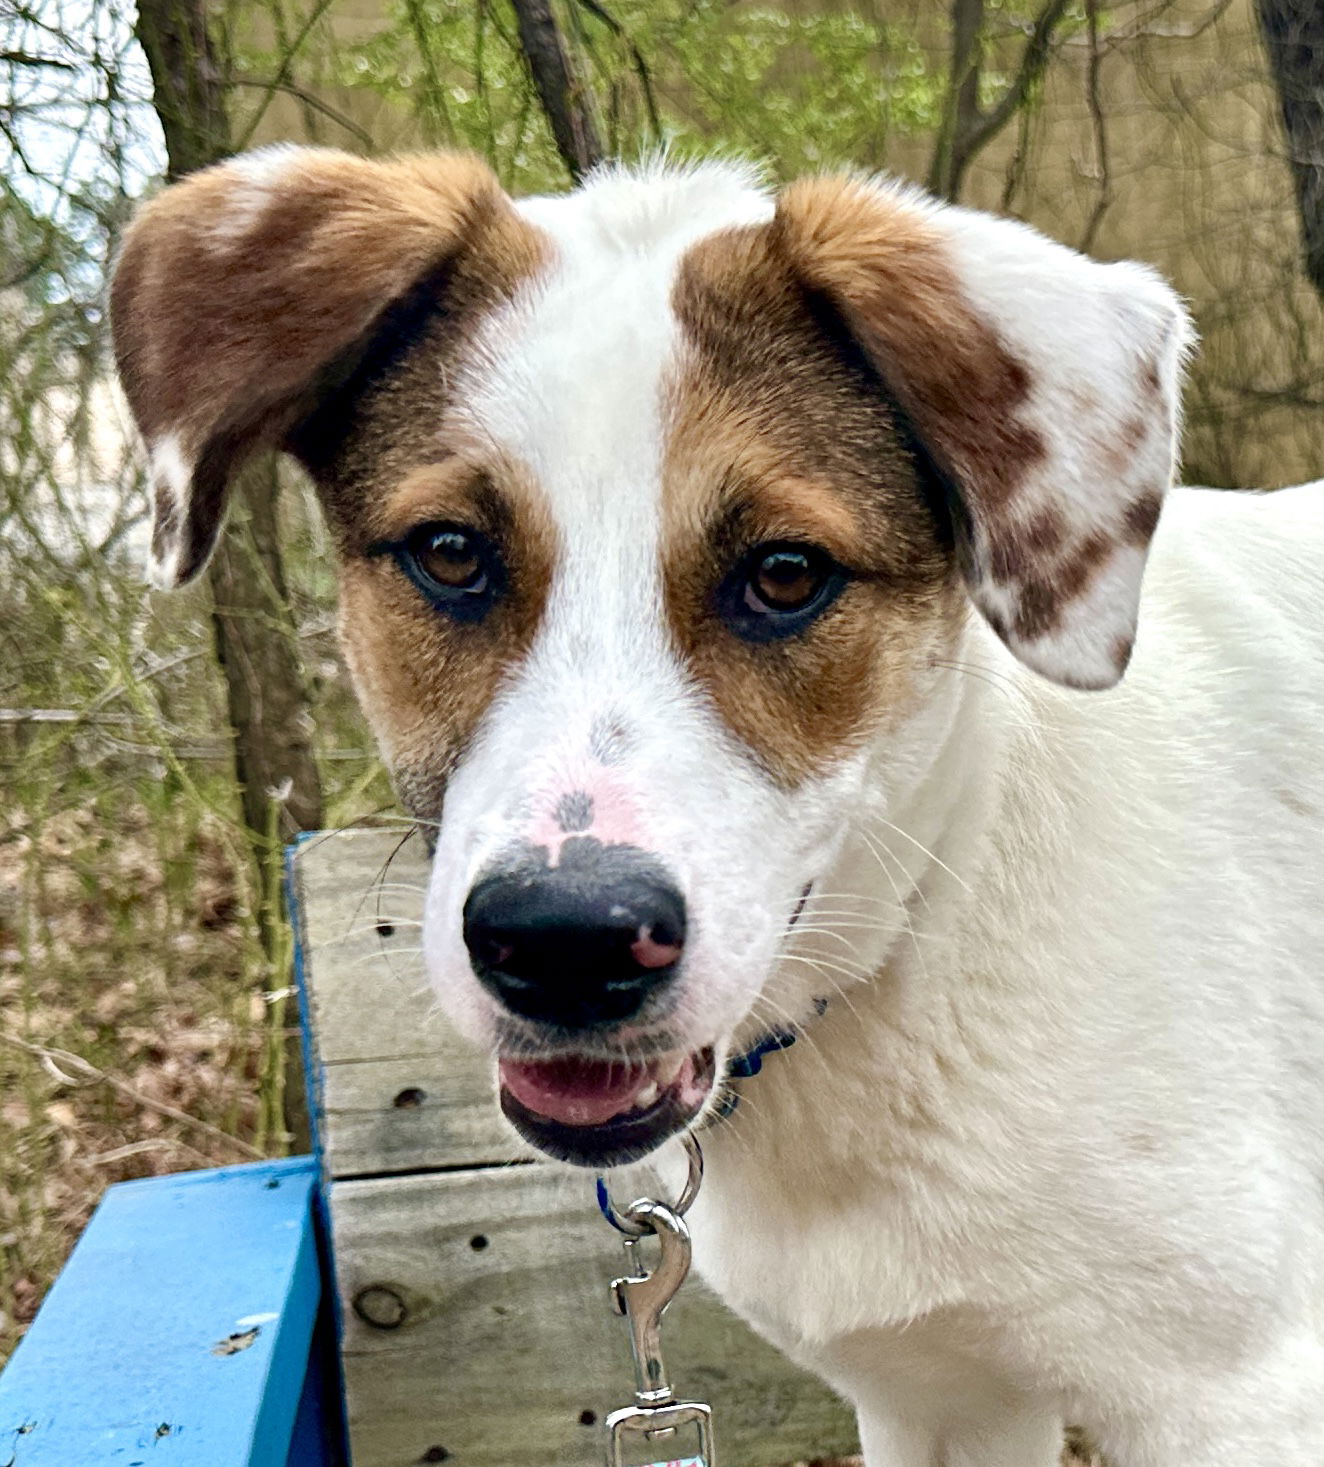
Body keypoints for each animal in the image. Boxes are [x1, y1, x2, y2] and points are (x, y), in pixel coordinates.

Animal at [113, 151, 1324, 1467]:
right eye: (447, 553)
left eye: (786, 574)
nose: (565, 946)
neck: (921, 929)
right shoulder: (938, 1398)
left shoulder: (1230, 1399)